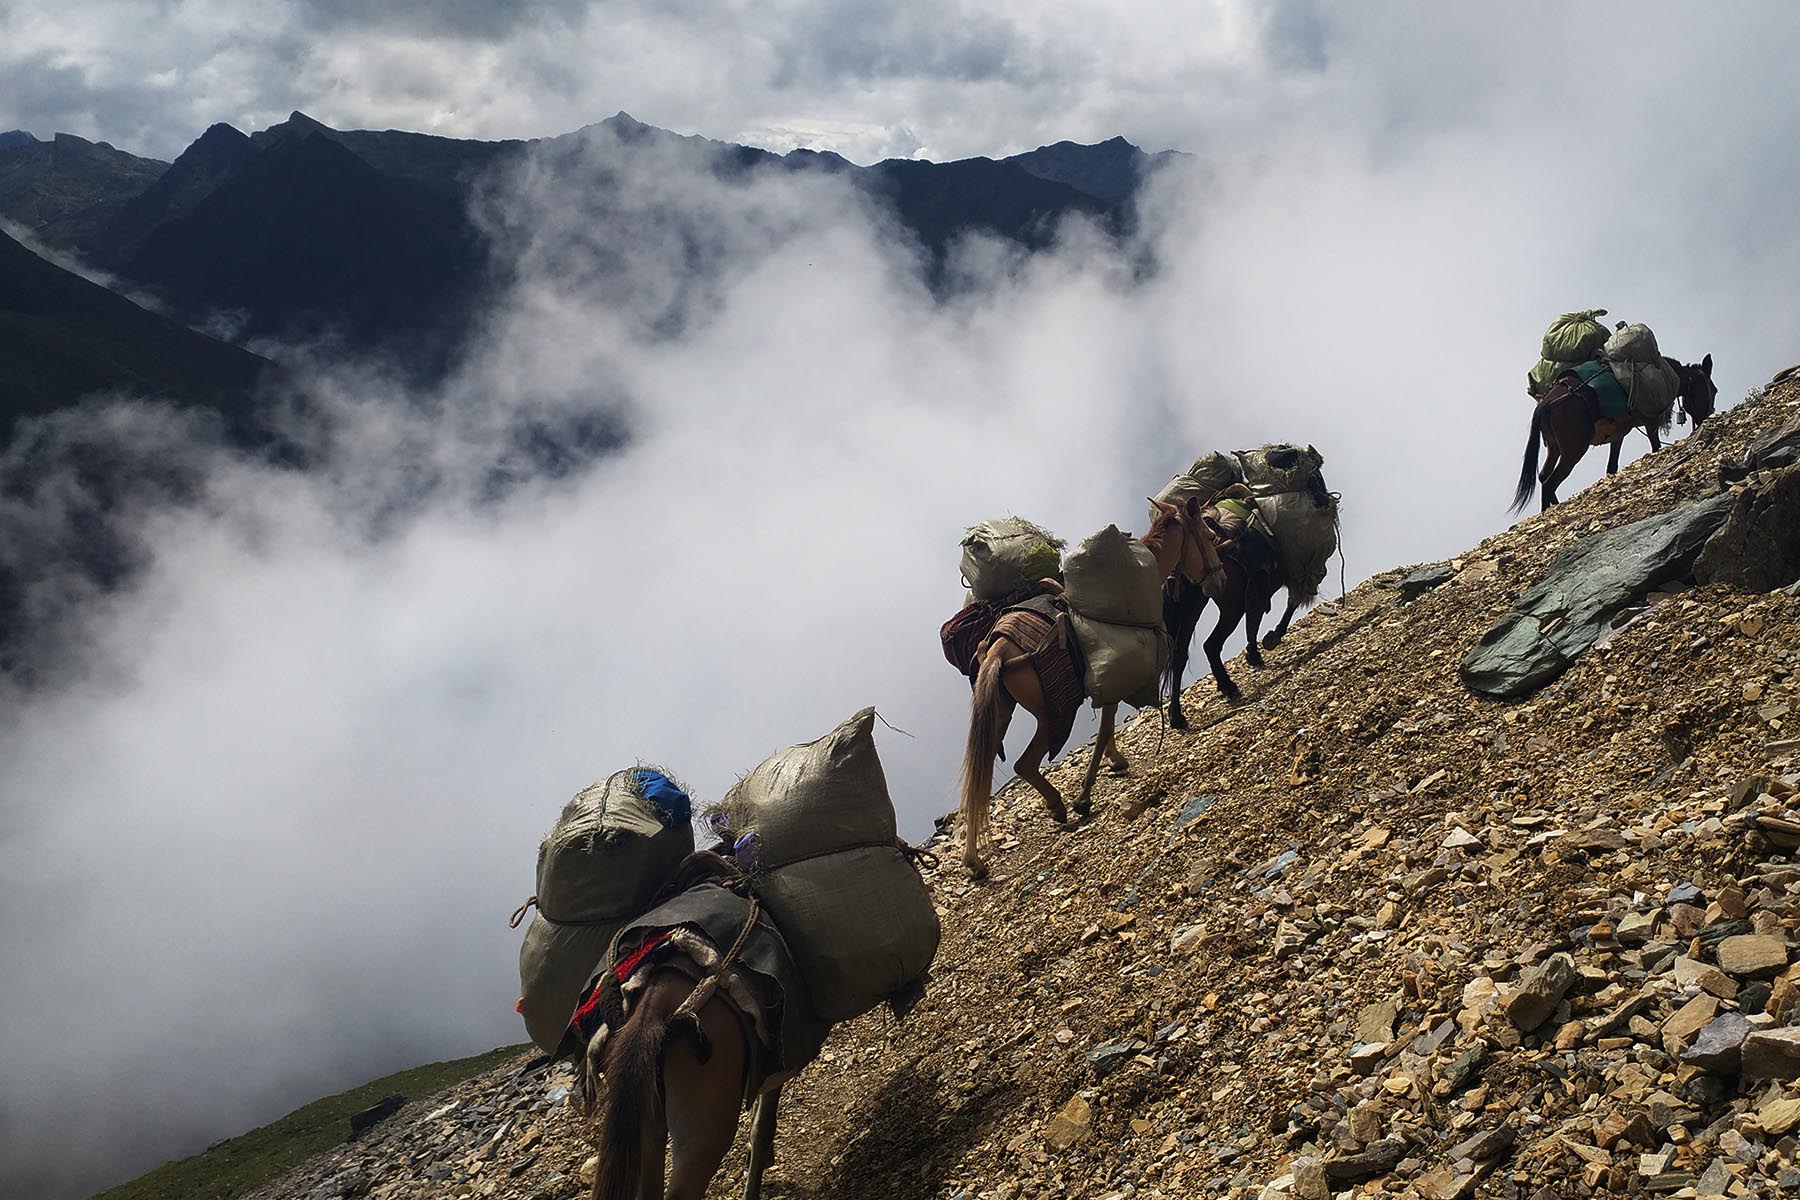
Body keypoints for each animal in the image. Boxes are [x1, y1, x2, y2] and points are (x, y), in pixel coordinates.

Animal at [957, 503, 1209, 877]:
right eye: (1205, 532)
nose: (1214, 571)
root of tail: (999, 648)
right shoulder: (1108, 681)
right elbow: (1104, 731)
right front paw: (1085, 797)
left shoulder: (1108, 686)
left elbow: (1107, 729)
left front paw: (1115, 763)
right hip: (1052, 714)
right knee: (1023, 765)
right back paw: (1058, 806)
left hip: (1000, 713)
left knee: (981, 774)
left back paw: (974, 859)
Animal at [1504, 352, 1713, 510]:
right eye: (1714, 389)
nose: (1709, 415)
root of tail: (1546, 403)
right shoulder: (1650, 421)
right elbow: (1655, 447)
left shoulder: (1617, 434)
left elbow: (1612, 467)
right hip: (1573, 451)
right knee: (1550, 482)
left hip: (1554, 448)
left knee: (1543, 476)